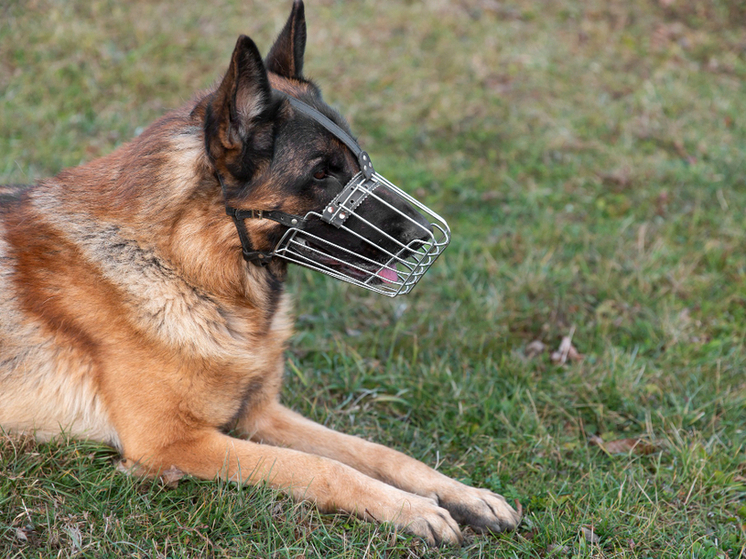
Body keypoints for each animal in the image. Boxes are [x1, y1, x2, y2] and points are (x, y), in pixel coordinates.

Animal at [0, 0, 520, 548]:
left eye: (358, 160)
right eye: (322, 172)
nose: (426, 238)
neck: (190, 269)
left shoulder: (261, 413)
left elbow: (374, 450)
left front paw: (462, 493)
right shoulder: (173, 443)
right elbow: (322, 467)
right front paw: (409, 507)